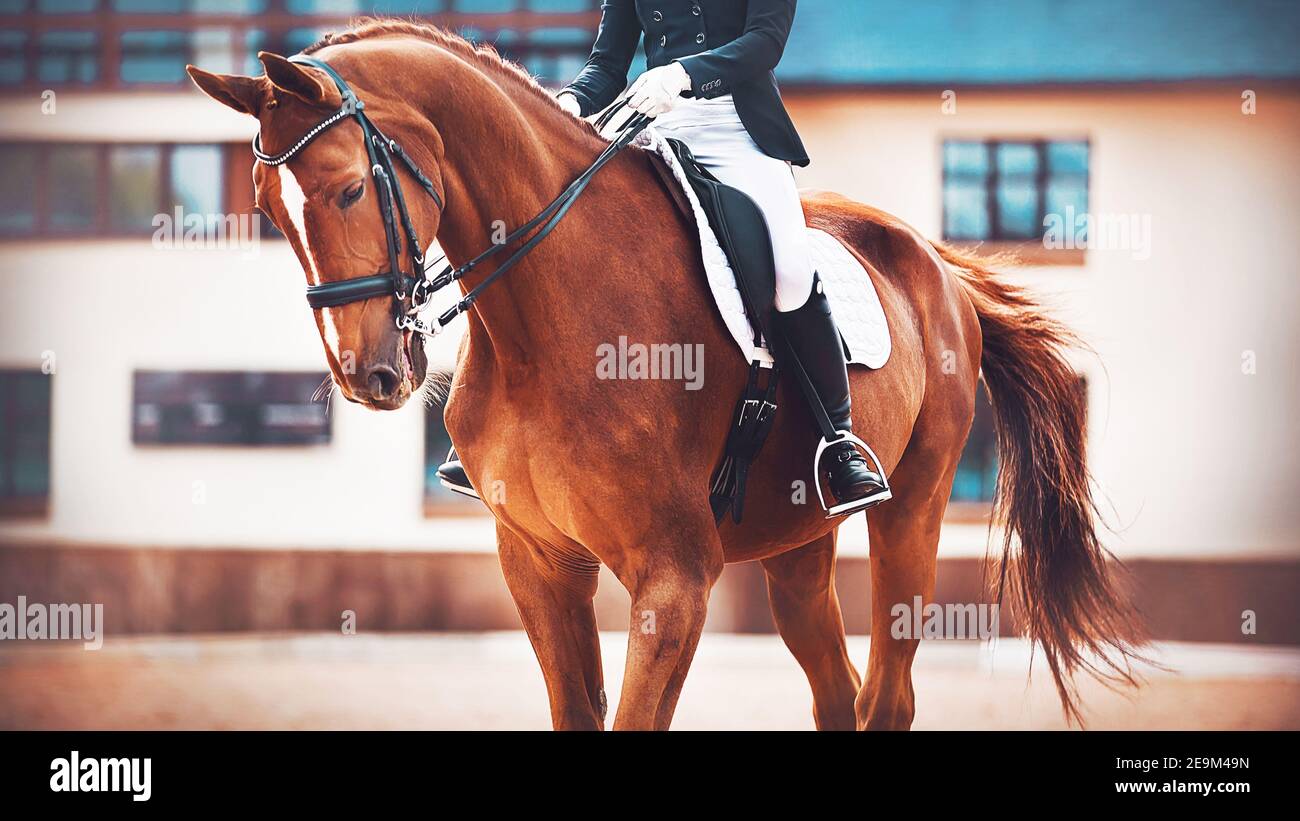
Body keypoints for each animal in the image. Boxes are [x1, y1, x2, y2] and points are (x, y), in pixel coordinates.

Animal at [188, 19, 1144, 727]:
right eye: (268, 209)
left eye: (351, 188)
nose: (371, 373)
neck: (545, 320)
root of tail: (936, 262)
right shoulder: (538, 560)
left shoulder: (675, 576)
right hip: (797, 544)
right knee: (836, 695)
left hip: (914, 506)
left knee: (887, 697)